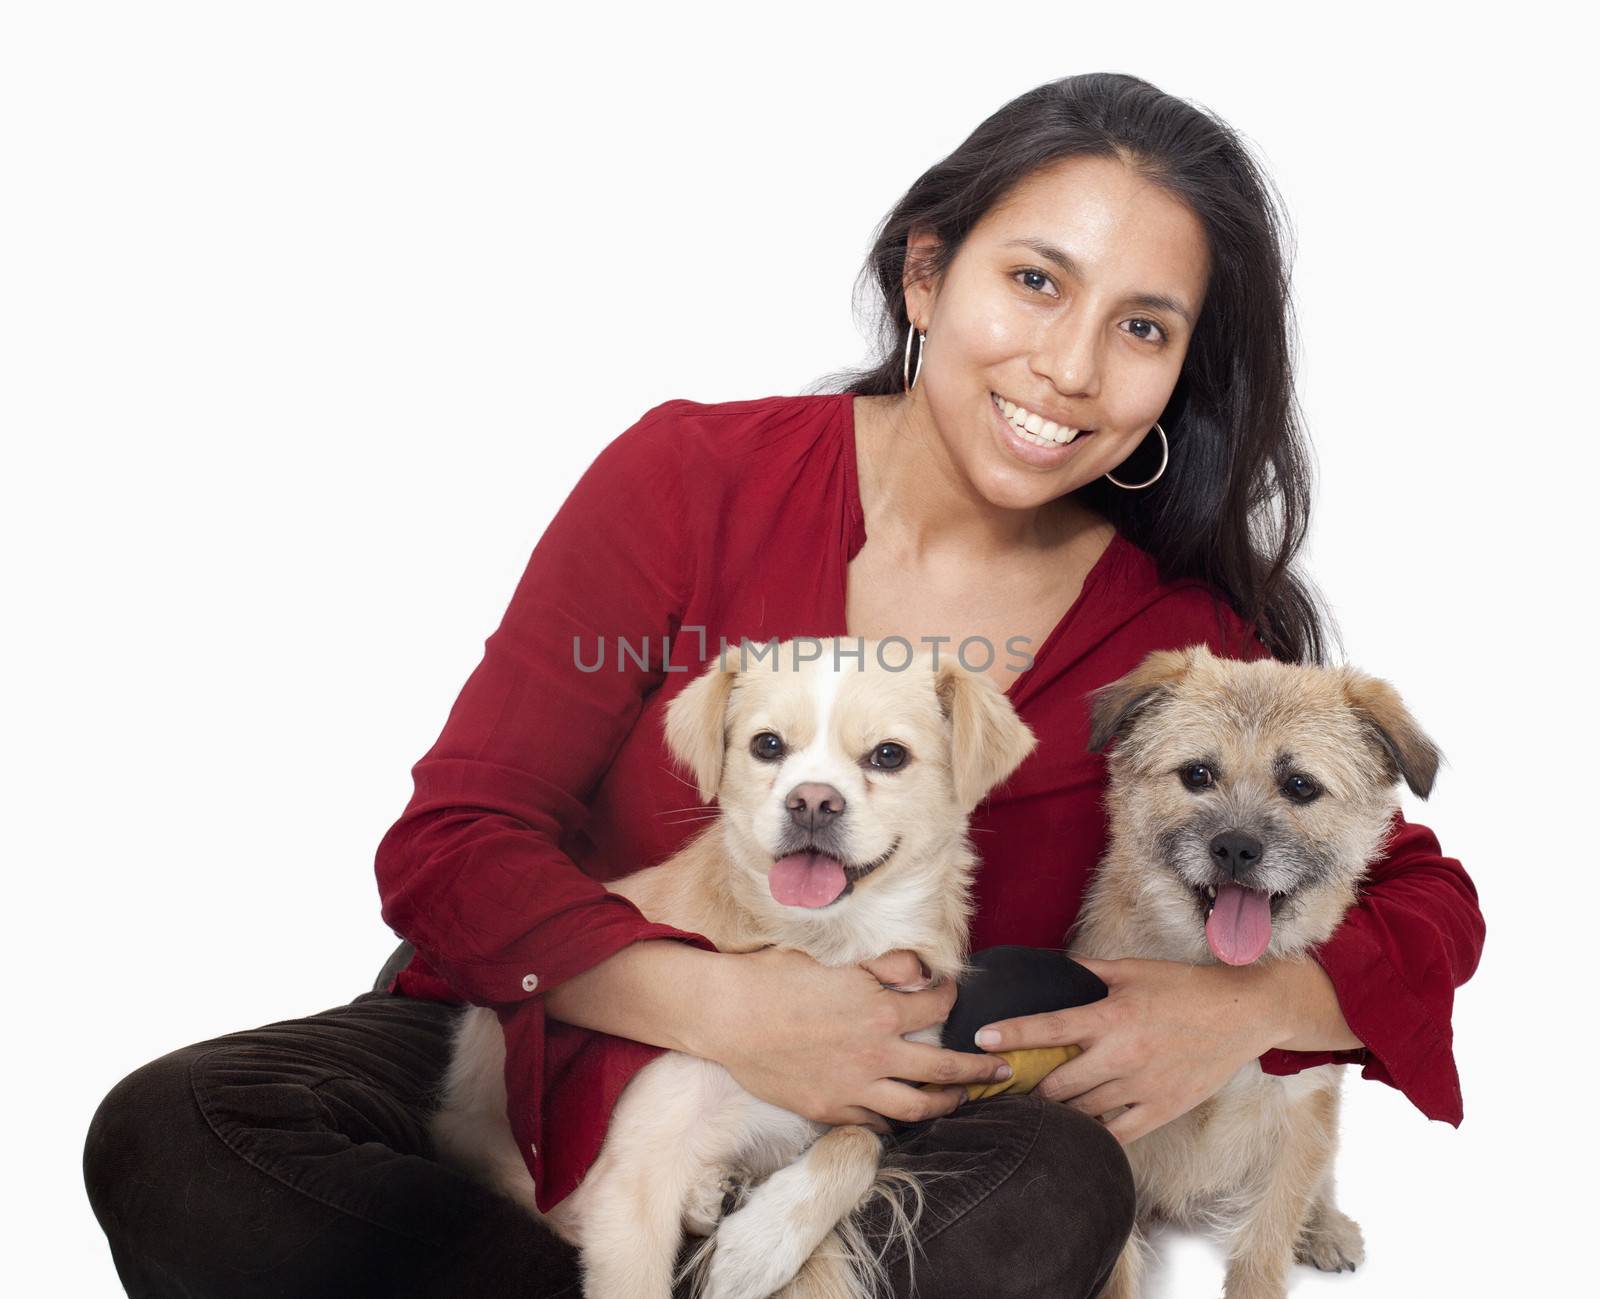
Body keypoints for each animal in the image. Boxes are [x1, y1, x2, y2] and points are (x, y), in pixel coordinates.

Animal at [432, 636, 1043, 1299]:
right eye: (767, 745)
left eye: (889, 755)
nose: (812, 802)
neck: (822, 946)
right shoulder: (634, 1178)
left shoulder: (870, 1101)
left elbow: (856, 1141)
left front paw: (763, 1243)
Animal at [1068, 643, 1446, 1299]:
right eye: (1197, 774)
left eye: (1300, 786)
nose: (1236, 848)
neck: (1213, 974)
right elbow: (1119, 1264)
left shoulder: (1300, 1116)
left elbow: (1266, 1243)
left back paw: (1327, 1229)